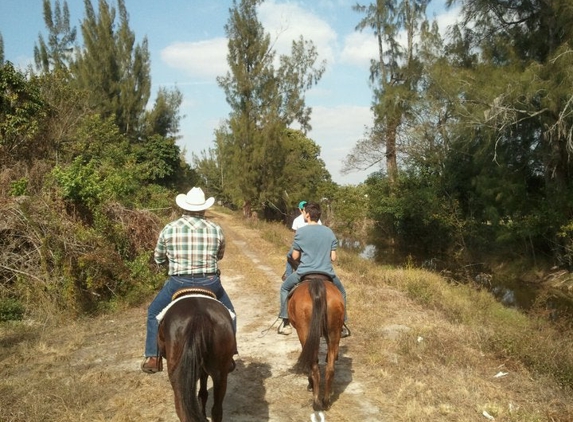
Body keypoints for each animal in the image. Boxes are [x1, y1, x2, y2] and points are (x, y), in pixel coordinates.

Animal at [156, 290, 235, 422]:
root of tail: (199, 316)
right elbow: (202, 394)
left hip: (177, 379)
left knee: (182, 410)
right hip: (220, 374)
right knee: (216, 410)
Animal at [286, 274, 344, 412]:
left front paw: (310, 384)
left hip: (304, 333)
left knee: (314, 367)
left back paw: (316, 402)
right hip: (334, 334)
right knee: (330, 369)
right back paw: (326, 401)